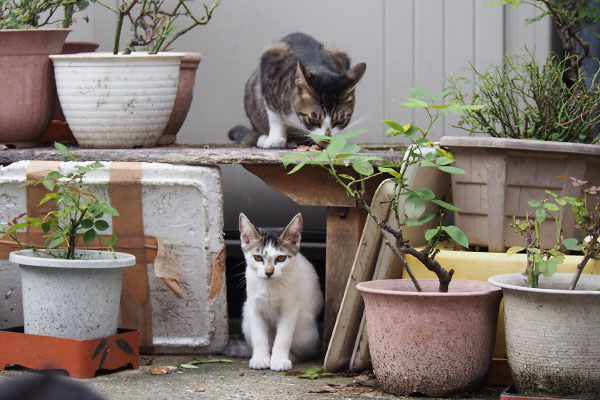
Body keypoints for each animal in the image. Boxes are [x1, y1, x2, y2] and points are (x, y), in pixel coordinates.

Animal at [227, 32, 366, 148]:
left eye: (340, 120)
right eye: (313, 119)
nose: (326, 139)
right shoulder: (270, 59)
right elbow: (274, 114)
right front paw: (275, 139)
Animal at [238, 212, 324, 372]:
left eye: (281, 258)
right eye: (257, 257)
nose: (269, 272)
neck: (270, 286)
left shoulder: (290, 308)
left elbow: (283, 337)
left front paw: (279, 360)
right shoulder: (253, 307)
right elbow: (258, 336)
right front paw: (260, 358)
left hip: (305, 332)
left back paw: (289, 356)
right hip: (246, 321)